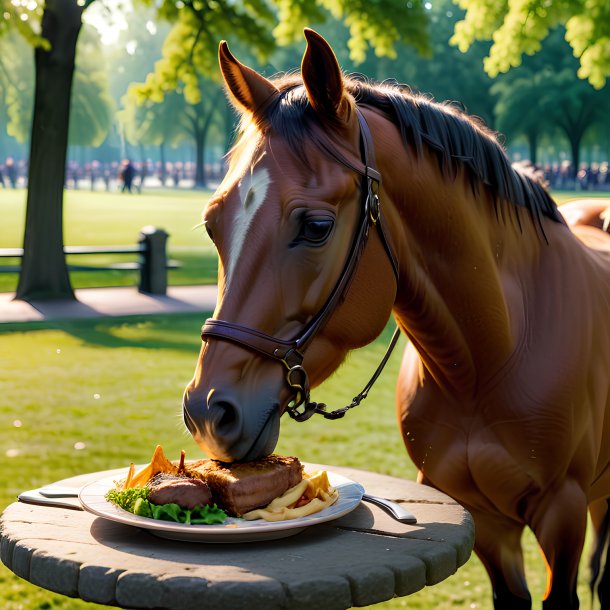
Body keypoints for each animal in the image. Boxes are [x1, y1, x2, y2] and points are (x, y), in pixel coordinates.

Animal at [180, 28, 608, 608]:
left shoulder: (562, 515)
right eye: (212, 223)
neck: (491, 358)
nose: (208, 411)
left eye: (316, 226)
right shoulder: (487, 522)